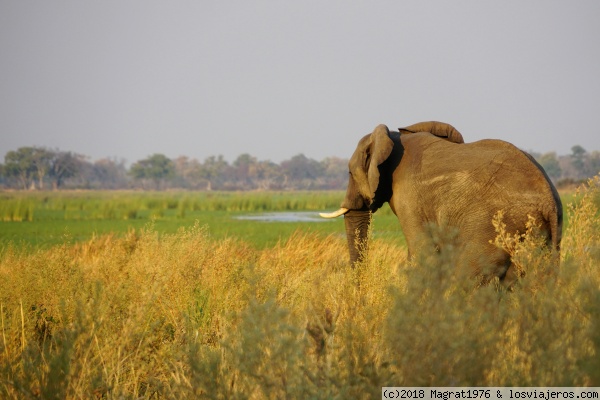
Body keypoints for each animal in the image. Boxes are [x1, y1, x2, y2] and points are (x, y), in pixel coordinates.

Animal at [324, 121, 564, 284]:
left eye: (349, 173)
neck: (394, 138)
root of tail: (549, 201)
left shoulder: (409, 197)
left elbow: (423, 254)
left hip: (492, 228)